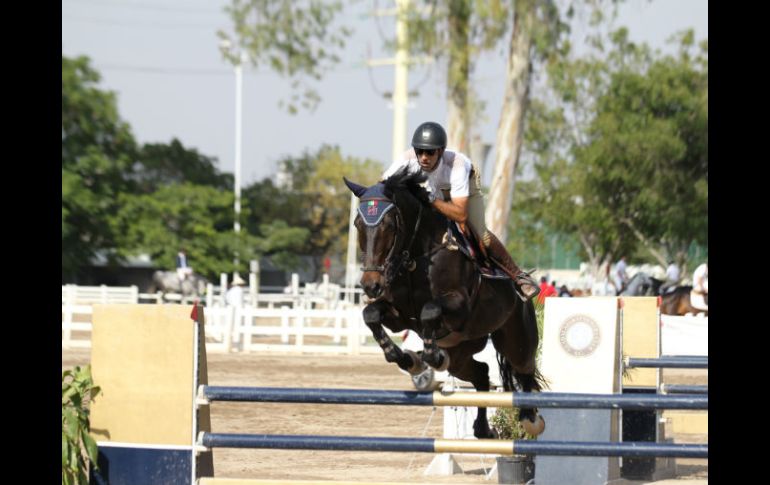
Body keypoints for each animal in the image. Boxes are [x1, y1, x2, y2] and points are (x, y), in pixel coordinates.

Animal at [342, 169, 544, 438]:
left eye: (389, 225)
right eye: (358, 224)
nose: (370, 285)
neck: (415, 259)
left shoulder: (459, 307)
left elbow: (430, 311)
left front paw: (431, 356)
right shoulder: (399, 317)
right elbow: (371, 315)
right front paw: (407, 358)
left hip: (515, 340)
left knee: (525, 370)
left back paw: (530, 419)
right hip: (462, 354)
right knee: (481, 373)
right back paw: (483, 429)